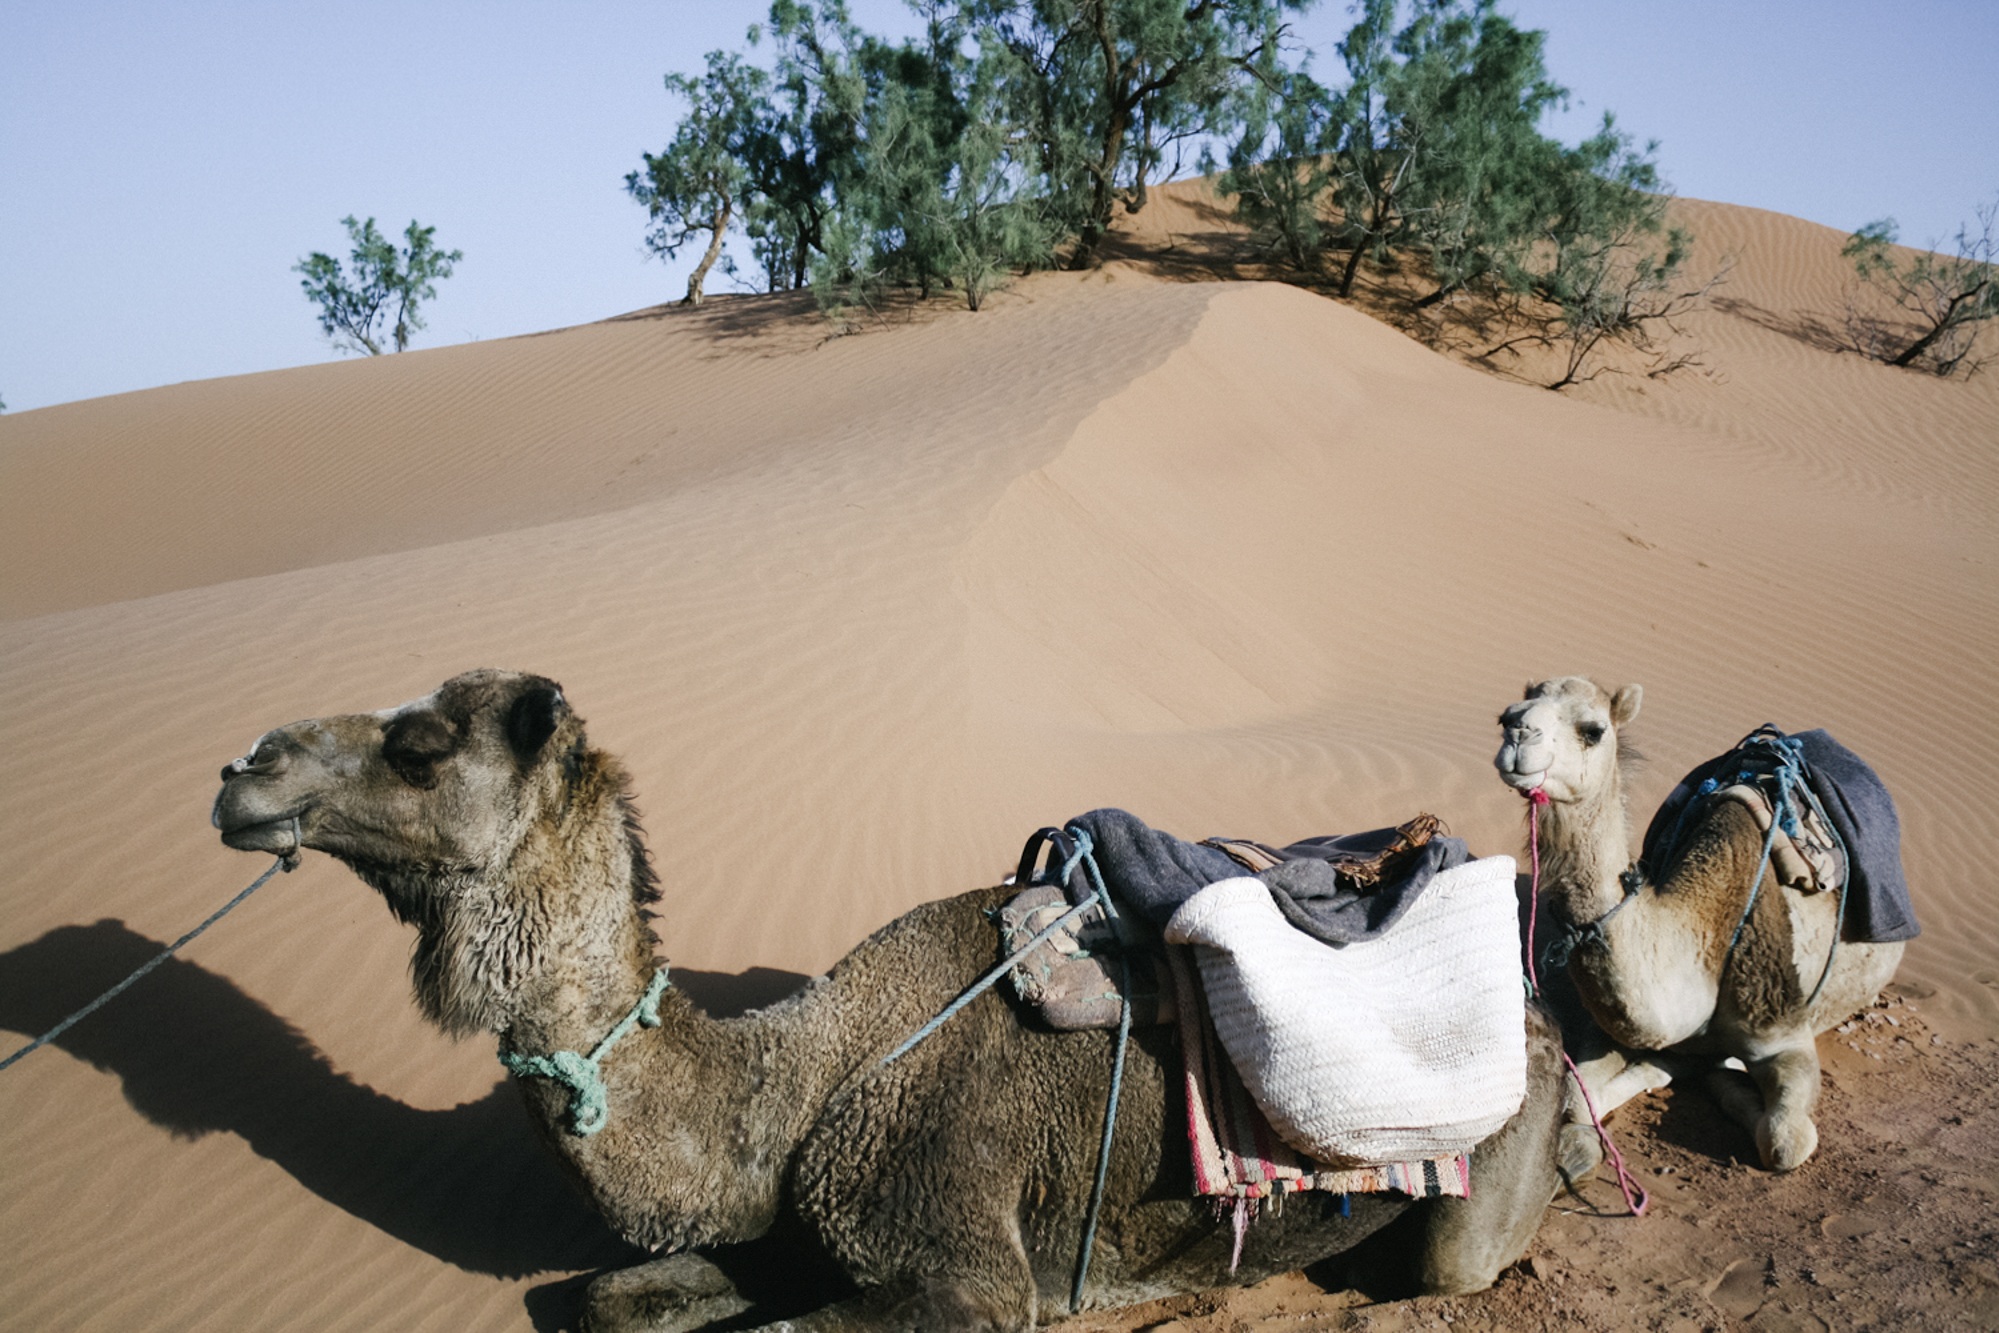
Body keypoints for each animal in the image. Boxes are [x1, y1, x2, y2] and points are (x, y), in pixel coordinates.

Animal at [214, 671, 1559, 1333]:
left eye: (421, 749)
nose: (242, 769)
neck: (806, 1081)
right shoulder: (787, 1235)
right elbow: (602, 1298)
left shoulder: (964, 1268)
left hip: (1491, 1170)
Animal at [1503, 683, 1903, 1175]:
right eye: (1507, 714)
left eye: (1593, 730)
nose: (1517, 731)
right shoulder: (1615, 1027)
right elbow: (1577, 1098)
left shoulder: (1784, 1033)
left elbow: (1785, 1141)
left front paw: (1721, 1077)